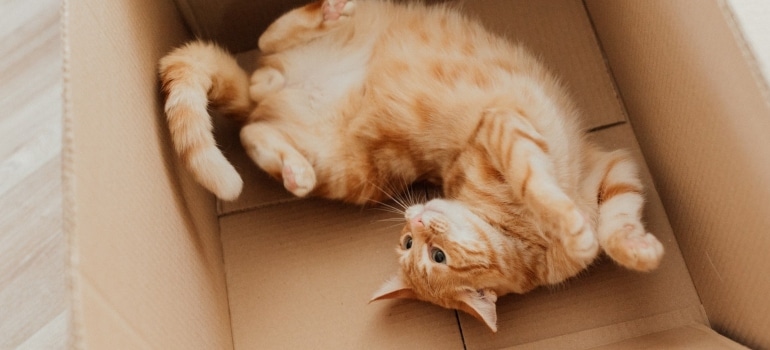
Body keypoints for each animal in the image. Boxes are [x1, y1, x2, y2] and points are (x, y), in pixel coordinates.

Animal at [156, 0, 660, 332]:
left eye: (430, 253)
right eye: (410, 245)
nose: (415, 218)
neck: (521, 239)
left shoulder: (612, 168)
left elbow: (616, 225)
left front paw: (641, 251)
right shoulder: (501, 126)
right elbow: (539, 186)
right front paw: (574, 229)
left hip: (342, 165)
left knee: (255, 112)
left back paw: (294, 167)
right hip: (353, 173)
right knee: (261, 64)